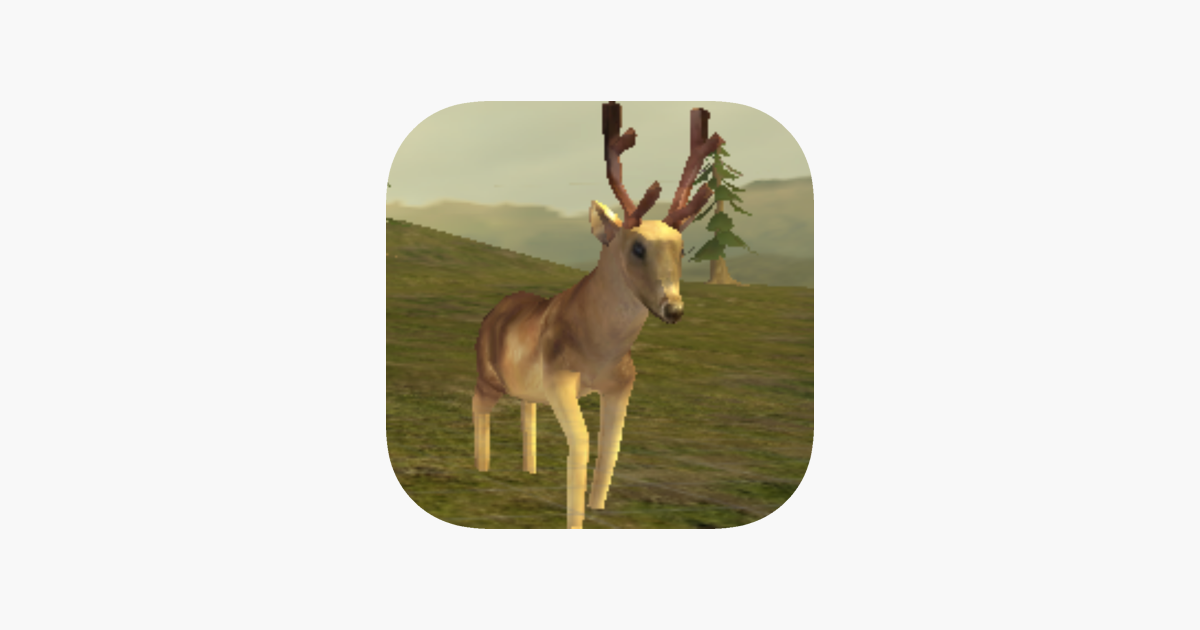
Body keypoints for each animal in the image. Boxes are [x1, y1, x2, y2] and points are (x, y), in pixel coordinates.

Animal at [472, 101, 723, 529]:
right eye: (637, 247)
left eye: (681, 248)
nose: (674, 309)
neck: (600, 351)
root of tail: (492, 313)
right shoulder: (558, 376)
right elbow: (583, 442)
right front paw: (574, 521)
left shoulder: (622, 383)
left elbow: (611, 444)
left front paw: (598, 508)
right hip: (488, 375)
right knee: (478, 402)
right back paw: (482, 466)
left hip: (524, 385)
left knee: (526, 407)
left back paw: (529, 469)